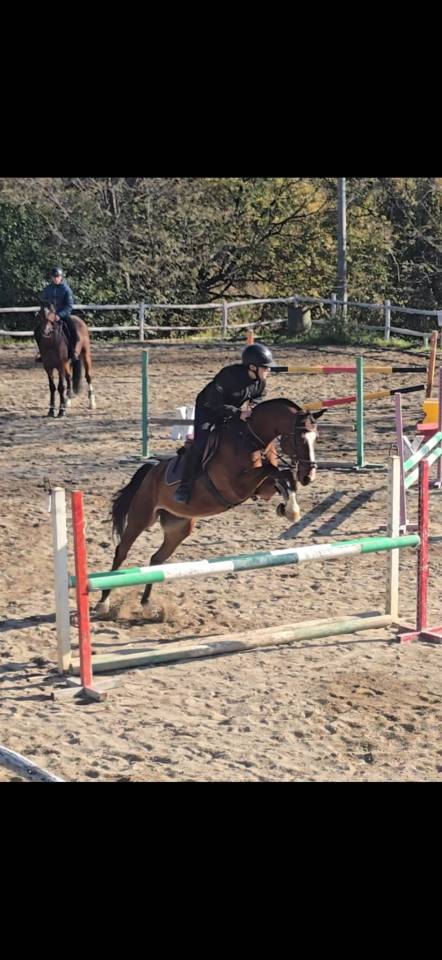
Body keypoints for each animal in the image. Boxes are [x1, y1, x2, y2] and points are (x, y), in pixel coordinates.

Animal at [96, 399, 324, 613]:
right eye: (300, 438)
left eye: (316, 438)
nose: (308, 477)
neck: (250, 439)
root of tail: (151, 471)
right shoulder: (237, 487)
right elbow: (273, 470)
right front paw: (290, 509)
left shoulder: (262, 489)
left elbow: (283, 476)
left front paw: (289, 510)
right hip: (141, 517)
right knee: (122, 551)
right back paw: (103, 602)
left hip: (179, 527)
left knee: (156, 559)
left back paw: (146, 603)